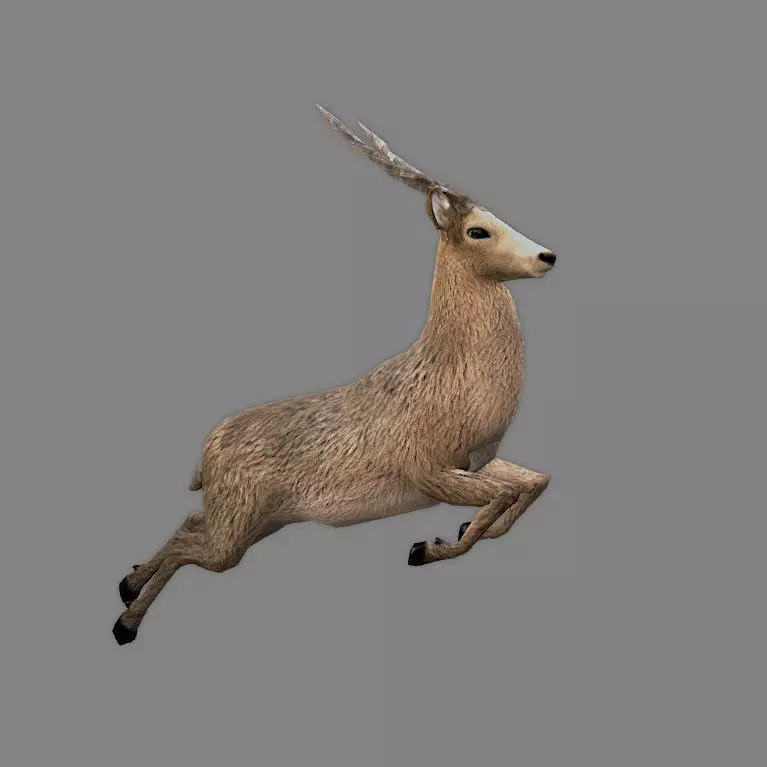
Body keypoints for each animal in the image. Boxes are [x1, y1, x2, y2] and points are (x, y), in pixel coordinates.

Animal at [112, 105, 558, 646]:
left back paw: (128, 582)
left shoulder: (476, 461)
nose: (547, 256)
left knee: (188, 522)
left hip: (253, 520)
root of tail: (205, 455)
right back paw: (124, 622)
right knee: (191, 547)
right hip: (237, 523)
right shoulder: (427, 469)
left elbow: (535, 482)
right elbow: (508, 493)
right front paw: (426, 548)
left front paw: (438, 539)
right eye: (478, 230)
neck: (451, 377)